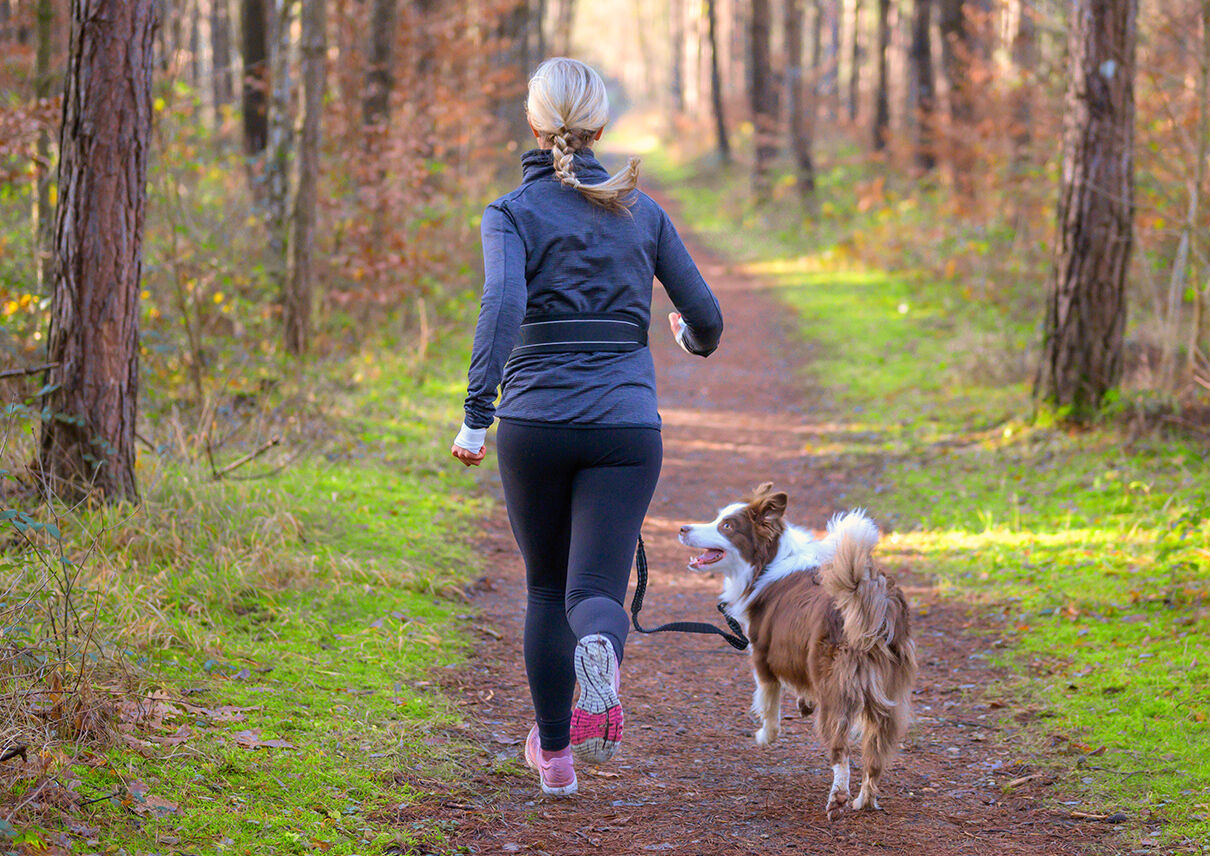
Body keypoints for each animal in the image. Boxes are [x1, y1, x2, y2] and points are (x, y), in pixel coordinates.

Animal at [682, 486, 914, 818]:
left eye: (726, 526)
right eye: (717, 518)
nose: (682, 528)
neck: (768, 561)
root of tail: (875, 600)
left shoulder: (762, 655)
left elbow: (769, 703)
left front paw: (765, 736)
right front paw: (804, 703)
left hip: (837, 690)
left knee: (841, 751)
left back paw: (838, 797)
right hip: (887, 698)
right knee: (875, 756)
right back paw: (864, 800)